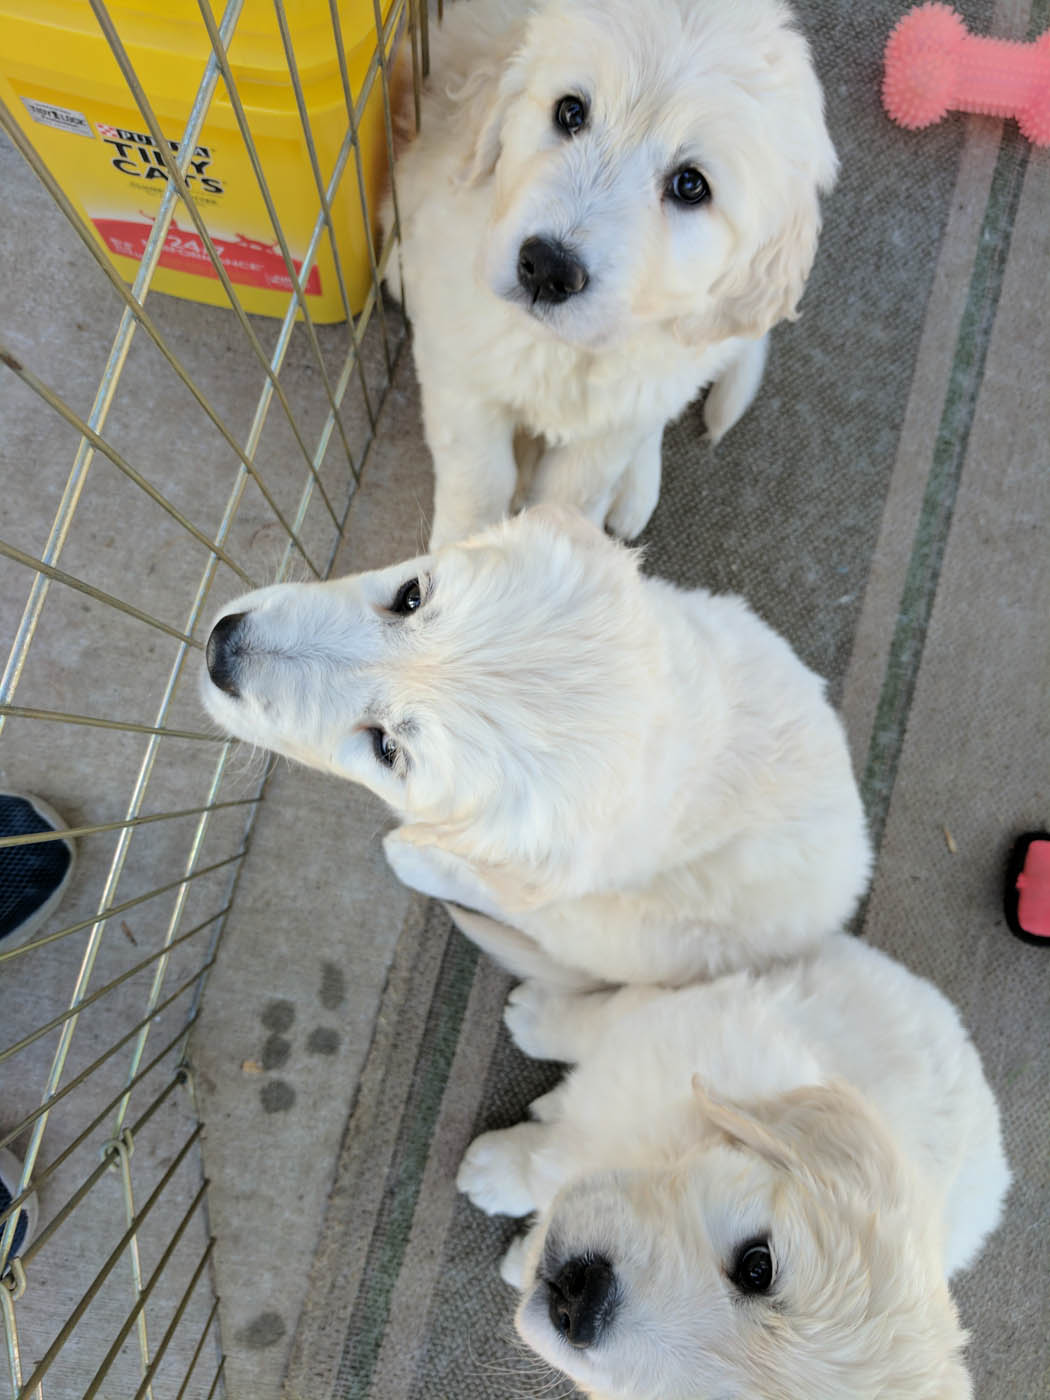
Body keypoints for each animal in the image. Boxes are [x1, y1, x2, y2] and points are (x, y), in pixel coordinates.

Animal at [386, 0, 840, 546]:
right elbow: (480, 478)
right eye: (570, 112)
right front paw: (462, 551)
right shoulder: (457, 364)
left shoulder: (620, 419)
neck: (564, 347)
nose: (547, 268)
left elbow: (576, 488)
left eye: (691, 185)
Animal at [459, 929, 1013, 1400]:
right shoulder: (677, 1023)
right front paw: (538, 1020)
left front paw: (501, 1198)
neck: (660, 1151)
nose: (582, 1302)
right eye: (758, 1267)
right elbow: (602, 1020)